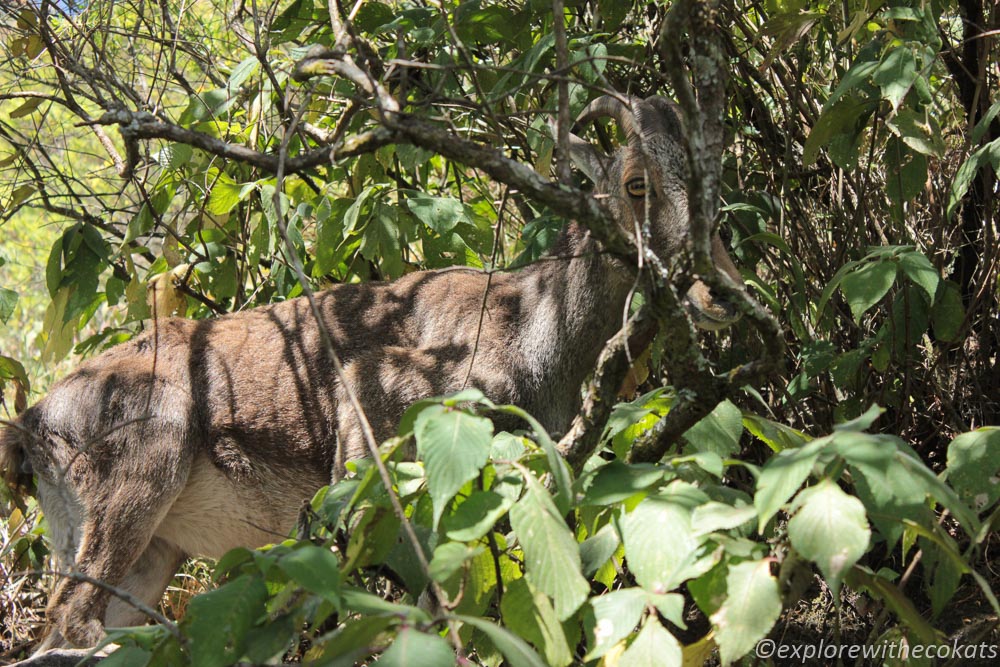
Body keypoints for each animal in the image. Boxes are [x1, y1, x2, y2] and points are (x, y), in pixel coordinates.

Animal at [0, 95, 744, 652]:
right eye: (637, 184)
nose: (723, 295)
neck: (530, 326)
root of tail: (34, 424)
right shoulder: (375, 411)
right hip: (138, 478)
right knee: (72, 618)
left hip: (146, 553)